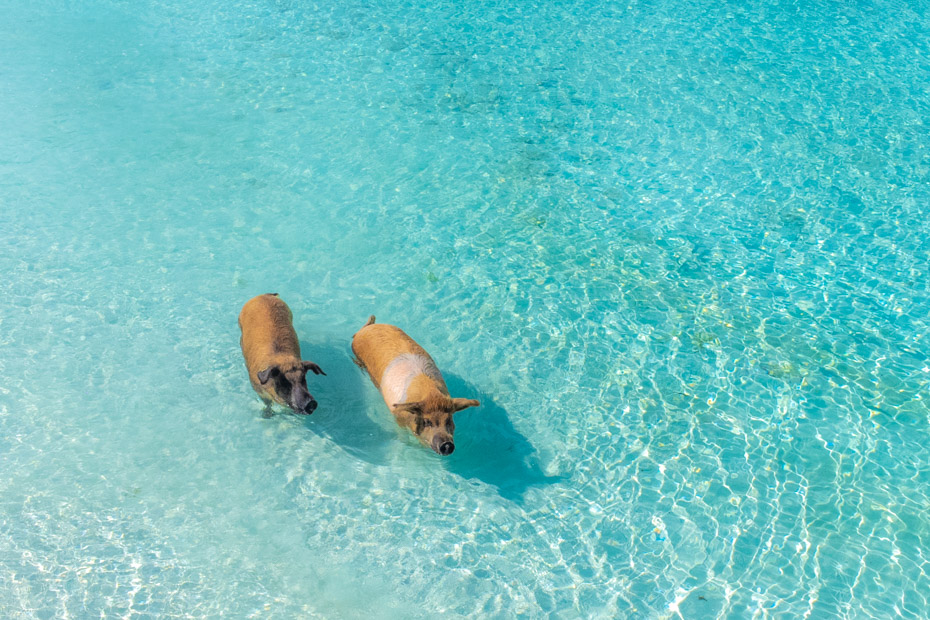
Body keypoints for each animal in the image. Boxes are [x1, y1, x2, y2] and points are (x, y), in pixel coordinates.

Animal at [351, 316, 479, 455]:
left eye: (448, 420)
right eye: (427, 422)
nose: (447, 445)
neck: (430, 395)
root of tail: (367, 328)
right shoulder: (398, 418)